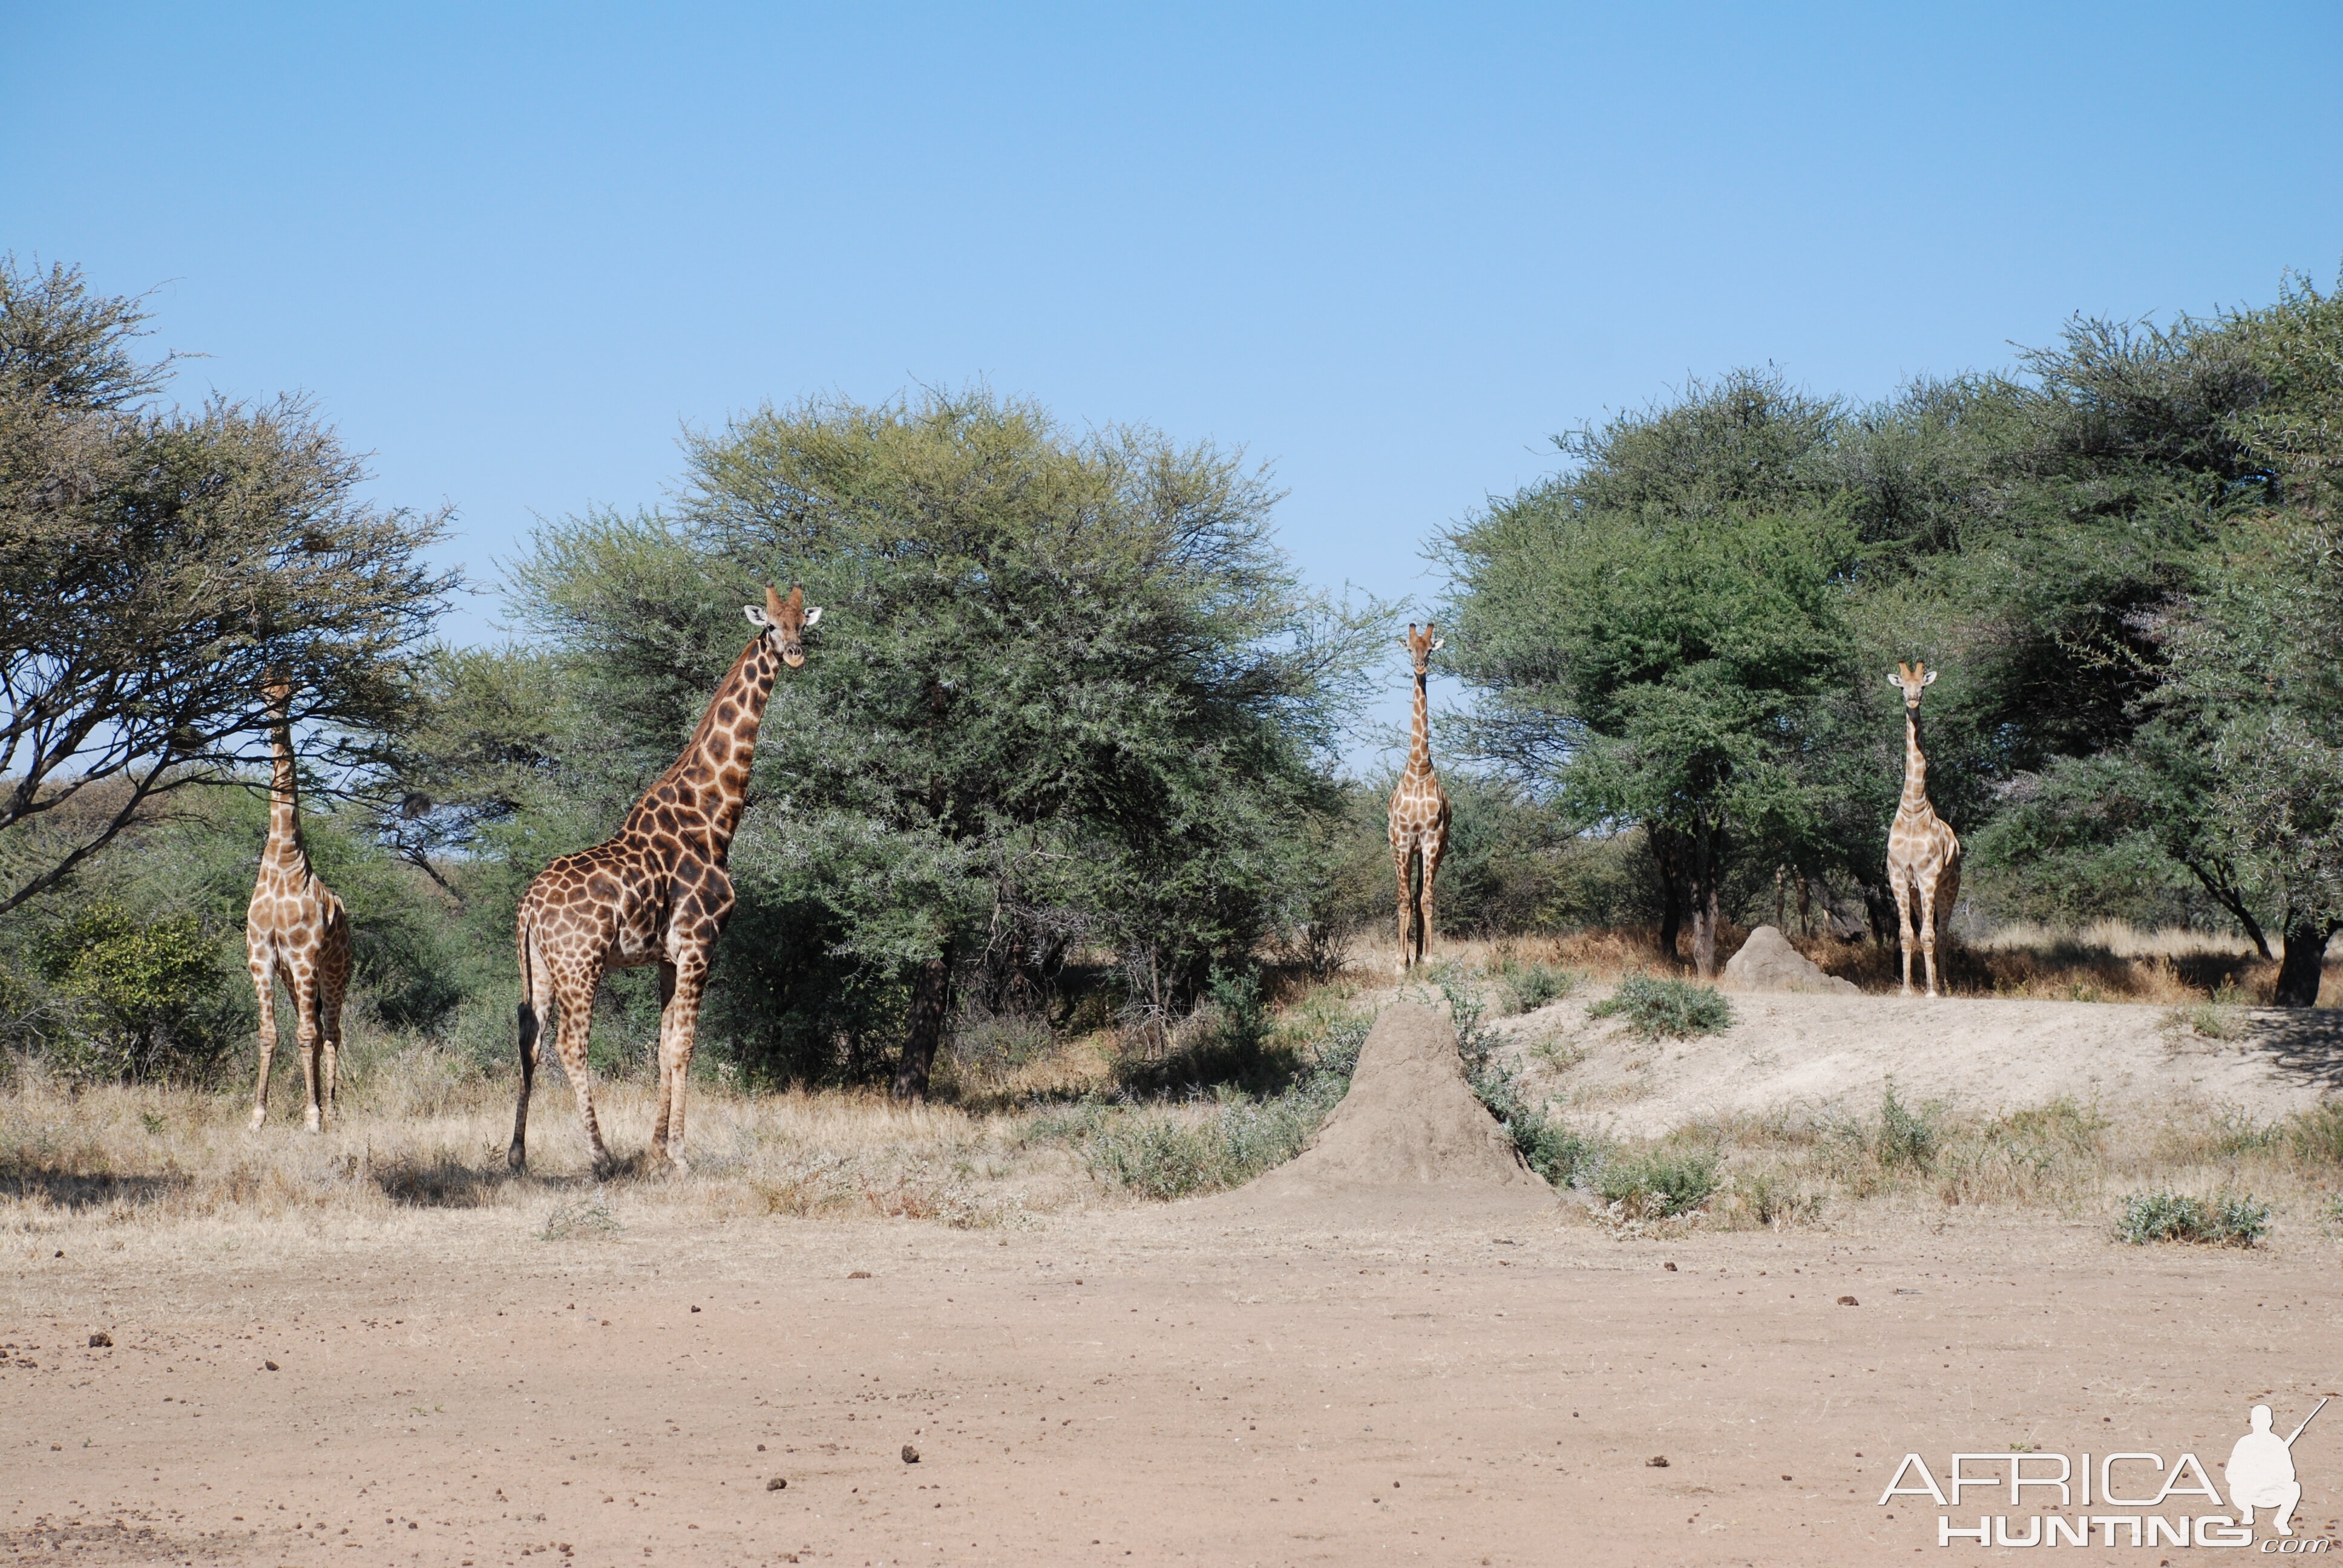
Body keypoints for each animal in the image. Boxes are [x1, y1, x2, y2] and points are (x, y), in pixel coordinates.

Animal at [508, 581, 820, 1167]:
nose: (794, 654)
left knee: (529, 1038)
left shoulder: (667, 957)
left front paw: (656, 1149)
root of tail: (529, 907)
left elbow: (661, 1047)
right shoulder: (700, 943)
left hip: (538, 966)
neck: (712, 819)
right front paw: (678, 1153)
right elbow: (685, 1047)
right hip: (581, 963)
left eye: (802, 625)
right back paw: (600, 1156)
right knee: (571, 1045)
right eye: (769, 625)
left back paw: (516, 1156)